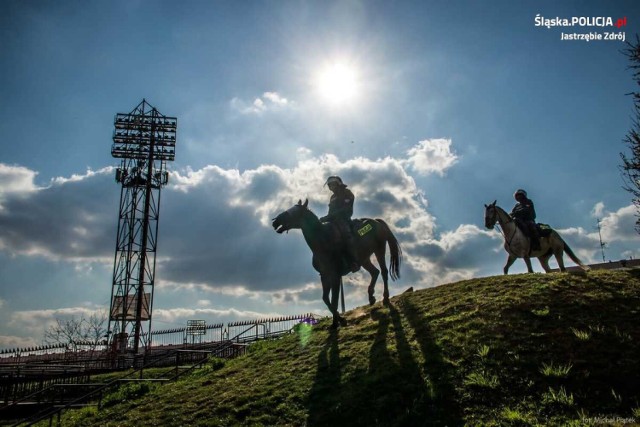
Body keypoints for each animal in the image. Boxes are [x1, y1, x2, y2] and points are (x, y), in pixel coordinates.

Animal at [272, 200, 402, 328]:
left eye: (295, 212)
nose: (275, 221)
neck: (323, 240)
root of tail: (376, 221)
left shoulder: (336, 276)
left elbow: (334, 300)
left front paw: (339, 321)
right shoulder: (324, 276)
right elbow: (326, 299)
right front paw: (337, 321)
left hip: (379, 249)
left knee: (384, 272)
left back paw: (385, 298)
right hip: (364, 259)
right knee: (375, 272)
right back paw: (371, 297)